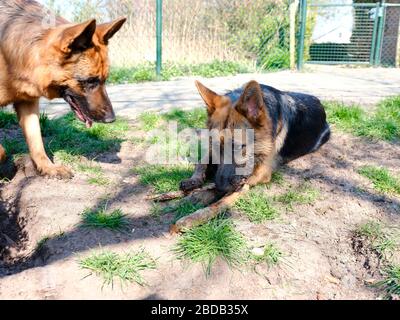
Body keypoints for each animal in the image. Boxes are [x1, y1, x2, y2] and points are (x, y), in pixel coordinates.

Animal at [0, 0, 125, 178]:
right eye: (90, 81)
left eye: (104, 80)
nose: (111, 119)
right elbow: (2, 151)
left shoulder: (27, 103)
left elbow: (36, 141)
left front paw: (48, 167)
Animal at [181, 80, 332, 195]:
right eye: (216, 146)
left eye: (238, 147)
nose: (220, 189)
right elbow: (202, 160)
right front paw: (194, 179)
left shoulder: (262, 170)